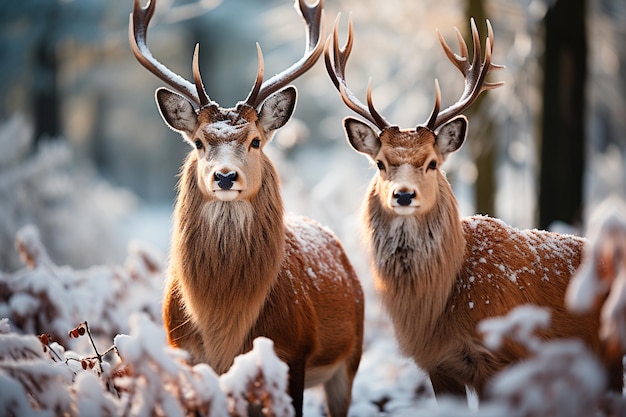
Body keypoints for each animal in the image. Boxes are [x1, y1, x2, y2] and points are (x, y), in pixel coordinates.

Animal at [129, 1, 364, 414]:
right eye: (199, 142)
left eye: (255, 141)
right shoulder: (186, 352)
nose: (225, 176)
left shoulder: (292, 352)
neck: (224, 326)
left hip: (350, 360)